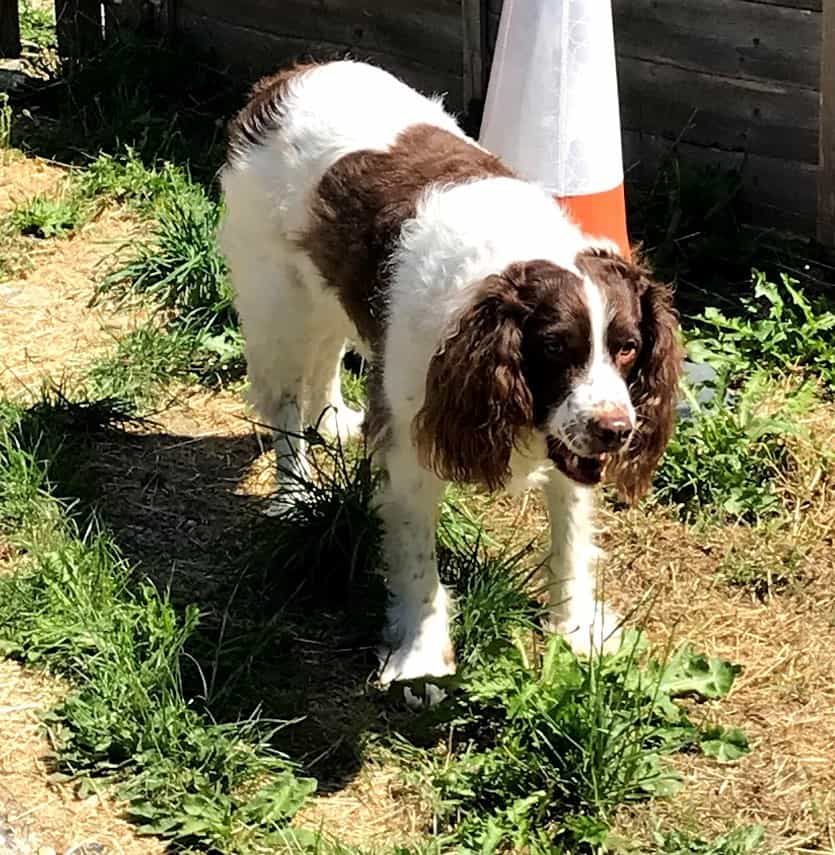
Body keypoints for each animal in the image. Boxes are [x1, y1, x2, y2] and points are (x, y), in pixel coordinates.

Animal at [220, 60, 684, 684]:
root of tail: (285, 79)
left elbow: (568, 538)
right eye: (554, 348)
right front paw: (420, 653)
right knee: (286, 406)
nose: (617, 431)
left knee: (327, 355)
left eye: (629, 348)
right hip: (278, 301)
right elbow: (418, 560)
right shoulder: (413, 444)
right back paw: (294, 491)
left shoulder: (570, 440)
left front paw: (576, 628)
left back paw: (336, 418)